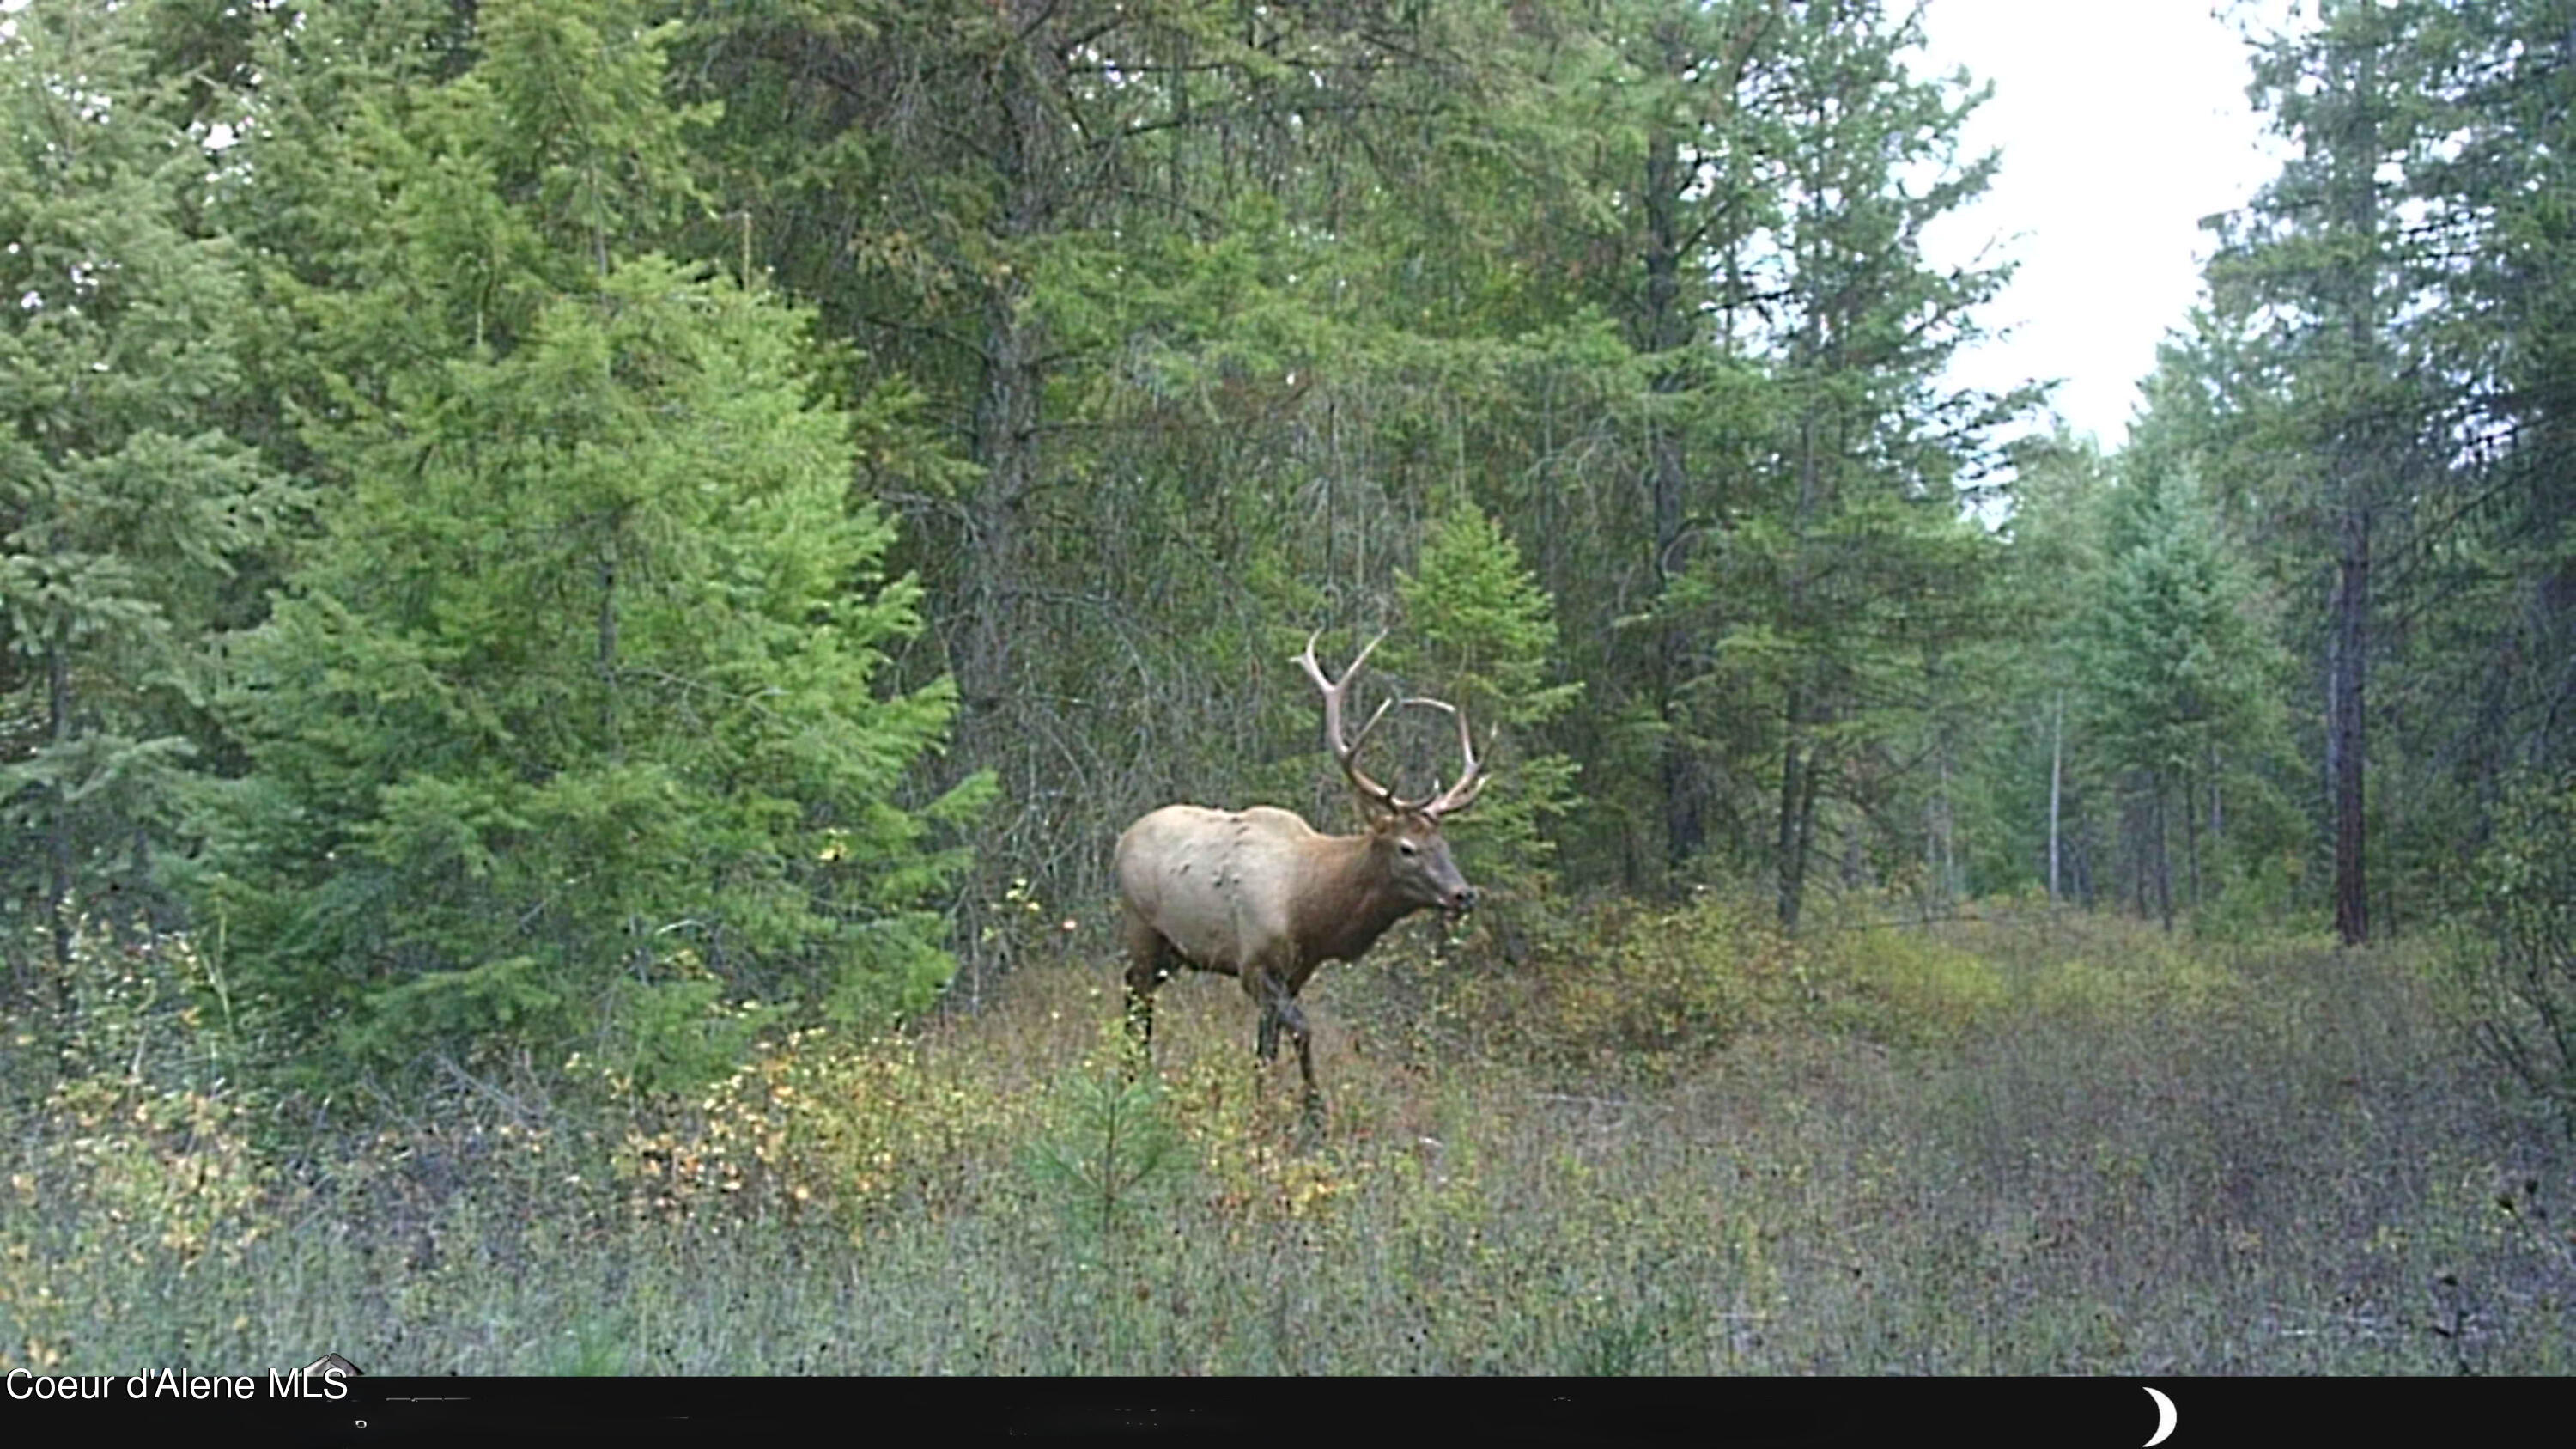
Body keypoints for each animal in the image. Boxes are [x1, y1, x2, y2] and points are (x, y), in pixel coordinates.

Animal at [1108, 626, 1494, 1098]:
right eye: (1407, 848)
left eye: (1444, 846)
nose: (1464, 895)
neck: (1311, 908)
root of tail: (1123, 839)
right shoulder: (1252, 963)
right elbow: (1302, 1029)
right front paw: (1313, 1112)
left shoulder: (1297, 970)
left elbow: (1266, 1047)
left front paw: (1262, 1103)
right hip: (1141, 926)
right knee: (1136, 994)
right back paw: (1131, 1079)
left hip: (1173, 950)